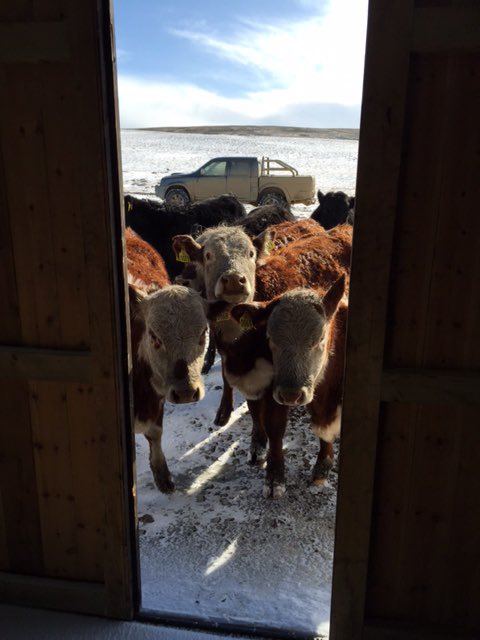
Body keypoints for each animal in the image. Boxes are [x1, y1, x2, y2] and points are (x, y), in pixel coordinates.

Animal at [227, 276, 347, 498]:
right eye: (270, 338)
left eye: (320, 338)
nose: (292, 394)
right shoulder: (274, 388)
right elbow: (275, 428)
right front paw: (274, 478)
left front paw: (322, 466)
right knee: (254, 408)